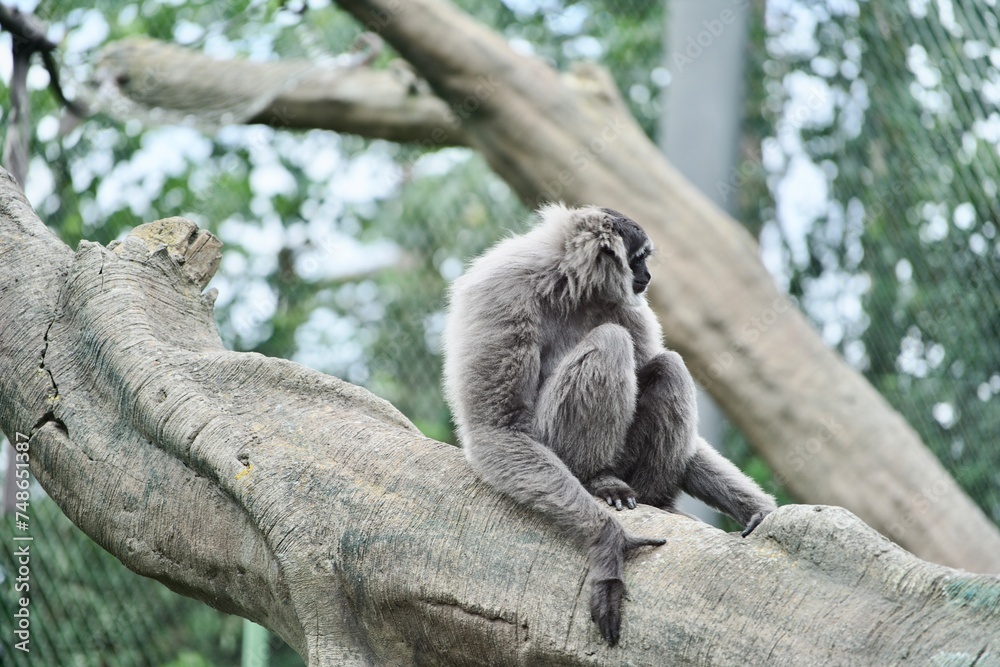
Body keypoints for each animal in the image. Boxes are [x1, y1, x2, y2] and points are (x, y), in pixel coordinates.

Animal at [442, 204, 776, 647]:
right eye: (640, 259)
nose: (648, 276)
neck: (567, 285)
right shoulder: (500, 292)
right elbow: (495, 429)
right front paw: (609, 542)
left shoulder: (631, 307)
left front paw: (758, 510)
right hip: (555, 441)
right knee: (612, 342)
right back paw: (600, 481)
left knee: (668, 365)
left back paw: (656, 500)